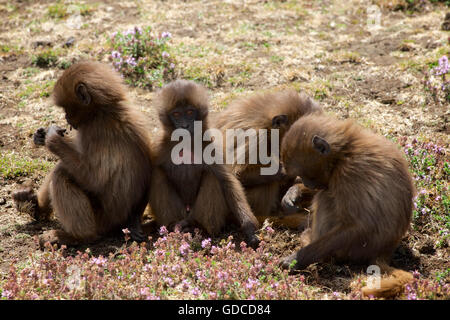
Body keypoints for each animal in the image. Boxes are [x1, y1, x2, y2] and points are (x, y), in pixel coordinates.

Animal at [12, 61, 153, 245]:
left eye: (66, 108)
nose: (66, 117)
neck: (102, 111)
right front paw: (41, 135)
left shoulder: (94, 130)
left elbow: (93, 179)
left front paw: (51, 138)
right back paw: (36, 208)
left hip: (102, 219)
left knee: (62, 172)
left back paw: (77, 236)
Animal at [149, 79, 260, 248]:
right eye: (176, 114)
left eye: (189, 112)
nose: (184, 126)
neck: (186, 143)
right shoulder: (157, 147)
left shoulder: (213, 145)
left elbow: (227, 181)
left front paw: (249, 229)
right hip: (180, 211)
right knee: (157, 173)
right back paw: (174, 225)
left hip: (196, 211)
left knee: (212, 177)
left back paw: (196, 225)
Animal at [280, 114, 416, 298]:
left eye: (308, 175)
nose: (307, 183)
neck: (343, 152)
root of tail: (385, 251)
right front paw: (293, 195)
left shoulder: (349, 174)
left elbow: (359, 226)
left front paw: (296, 259)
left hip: (355, 249)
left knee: (326, 198)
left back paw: (312, 243)